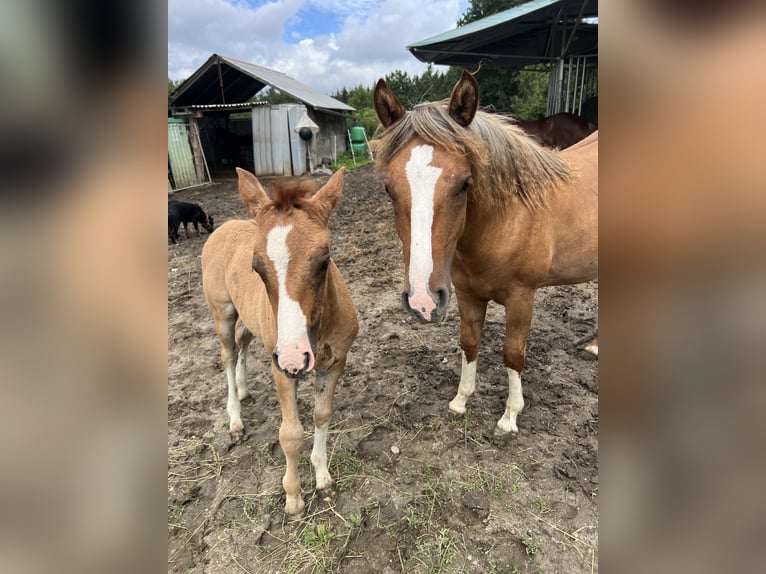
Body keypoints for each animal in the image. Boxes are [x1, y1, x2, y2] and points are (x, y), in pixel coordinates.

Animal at [204, 168, 360, 516]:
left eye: (324, 261)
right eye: (257, 267)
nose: (294, 357)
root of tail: (224, 226)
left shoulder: (335, 363)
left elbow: (322, 414)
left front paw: (323, 478)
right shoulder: (281, 370)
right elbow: (290, 433)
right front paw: (293, 497)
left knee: (244, 342)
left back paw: (245, 390)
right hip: (223, 313)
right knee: (228, 354)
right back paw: (235, 419)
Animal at [374, 71, 600, 436]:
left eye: (464, 183)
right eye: (388, 188)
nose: (421, 301)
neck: (506, 218)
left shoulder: (522, 297)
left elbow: (512, 353)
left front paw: (510, 416)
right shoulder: (466, 294)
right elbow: (469, 343)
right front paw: (461, 400)